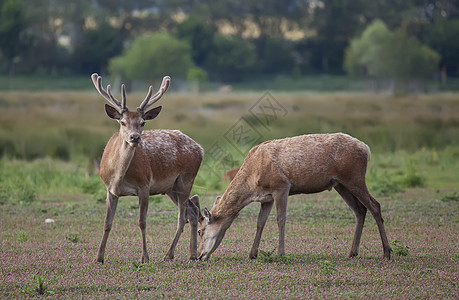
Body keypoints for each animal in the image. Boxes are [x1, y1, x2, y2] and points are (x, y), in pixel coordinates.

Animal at [91, 74, 203, 262]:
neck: (118, 176)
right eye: (122, 122)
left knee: (182, 217)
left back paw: (169, 254)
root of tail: (199, 148)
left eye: (142, 122)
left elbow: (142, 222)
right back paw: (192, 254)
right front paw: (98, 257)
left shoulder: (144, 186)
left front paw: (145, 257)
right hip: (171, 187)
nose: (135, 137)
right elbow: (107, 223)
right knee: (192, 210)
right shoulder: (110, 190)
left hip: (186, 178)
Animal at [198, 133, 392, 260]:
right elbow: (260, 222)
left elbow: (280, 219)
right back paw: (352, 252)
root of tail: (367, 149)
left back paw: (386, 252)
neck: (253, 183)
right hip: (340, 184)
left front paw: (281, 253)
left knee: (375, 205)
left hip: (354, 177)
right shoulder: (266, 197)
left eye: (200, 231)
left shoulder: (281, 186)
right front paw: (252, 254)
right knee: (360, 210)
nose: (199, 256)